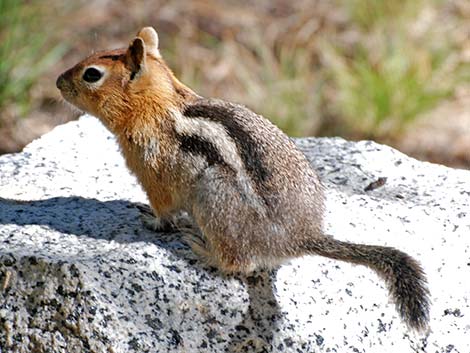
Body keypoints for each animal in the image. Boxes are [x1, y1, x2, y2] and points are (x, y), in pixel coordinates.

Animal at [55, 26, 430, 328]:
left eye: (91, 74)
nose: (58, 81)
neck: (159, 106)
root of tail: (299, 237)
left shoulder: (153, 174)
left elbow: (163, 211)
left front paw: (150, 220)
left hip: (213, 198)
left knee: (239, 265)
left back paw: (201, 251)